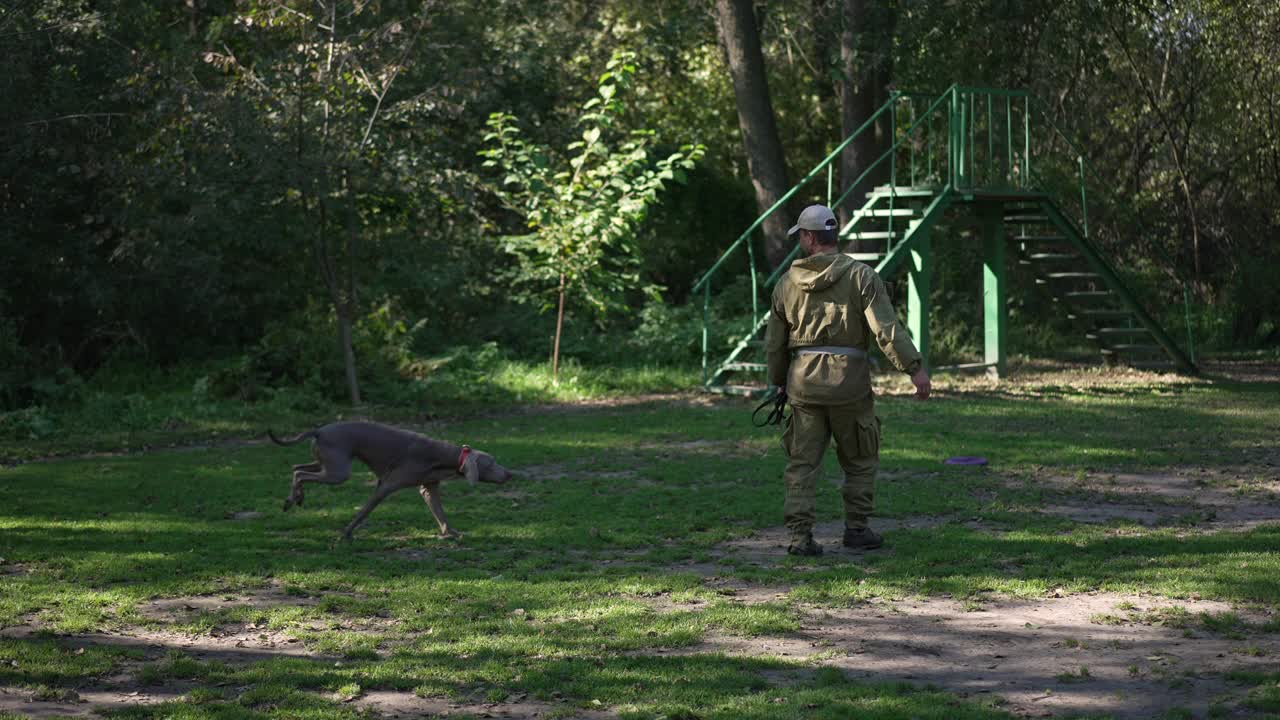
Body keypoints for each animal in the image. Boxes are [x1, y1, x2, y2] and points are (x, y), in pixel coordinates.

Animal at [268, 420, 509, 538]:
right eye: (491, 463)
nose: (509, 474)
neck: (446, 457)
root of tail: (319, 430)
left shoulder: (429, 488)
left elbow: (440, 512)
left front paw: (450, 533)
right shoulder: (386, 486)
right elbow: (364, 511)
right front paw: (347, 532)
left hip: (327, 463)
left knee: (296, 469)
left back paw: (294, 498)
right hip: (338, 472)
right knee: (301, 473)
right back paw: (293, 499)